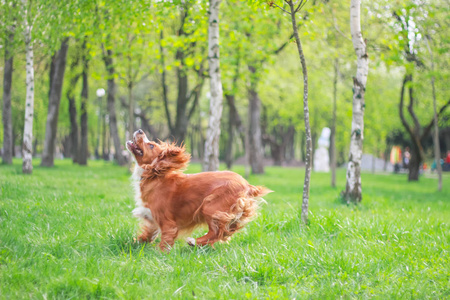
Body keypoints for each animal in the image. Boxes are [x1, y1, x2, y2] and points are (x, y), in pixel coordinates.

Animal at [125, 129, 270, 251]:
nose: (140, 130)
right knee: (224, 232)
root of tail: (247, 185)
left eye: (151, 146)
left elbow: (165, 240)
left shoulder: (168, 222)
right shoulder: (151, 219)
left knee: (216, 232)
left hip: (210, 206)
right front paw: (133, 244)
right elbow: (147, 235)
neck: (154, 175)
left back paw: (194, 242)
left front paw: (160, 253)